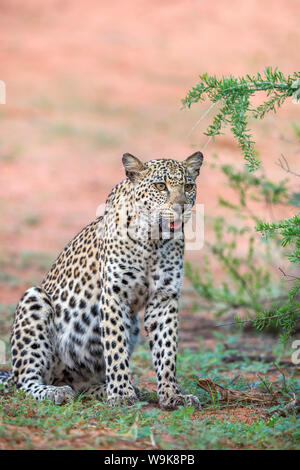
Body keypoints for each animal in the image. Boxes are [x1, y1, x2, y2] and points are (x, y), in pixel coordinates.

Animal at [0, 151, 204, 408]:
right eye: (160, 186)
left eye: (188, 186)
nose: (181, 207)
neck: (154, 240)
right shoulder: (115, 296)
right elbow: (115, 347)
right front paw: (121, 394)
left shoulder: (164, 298)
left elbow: (166, 350)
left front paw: (172, 395)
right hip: (33, 299)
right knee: (24, 381)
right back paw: (55, 392)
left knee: (79, 386)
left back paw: (105, 389)